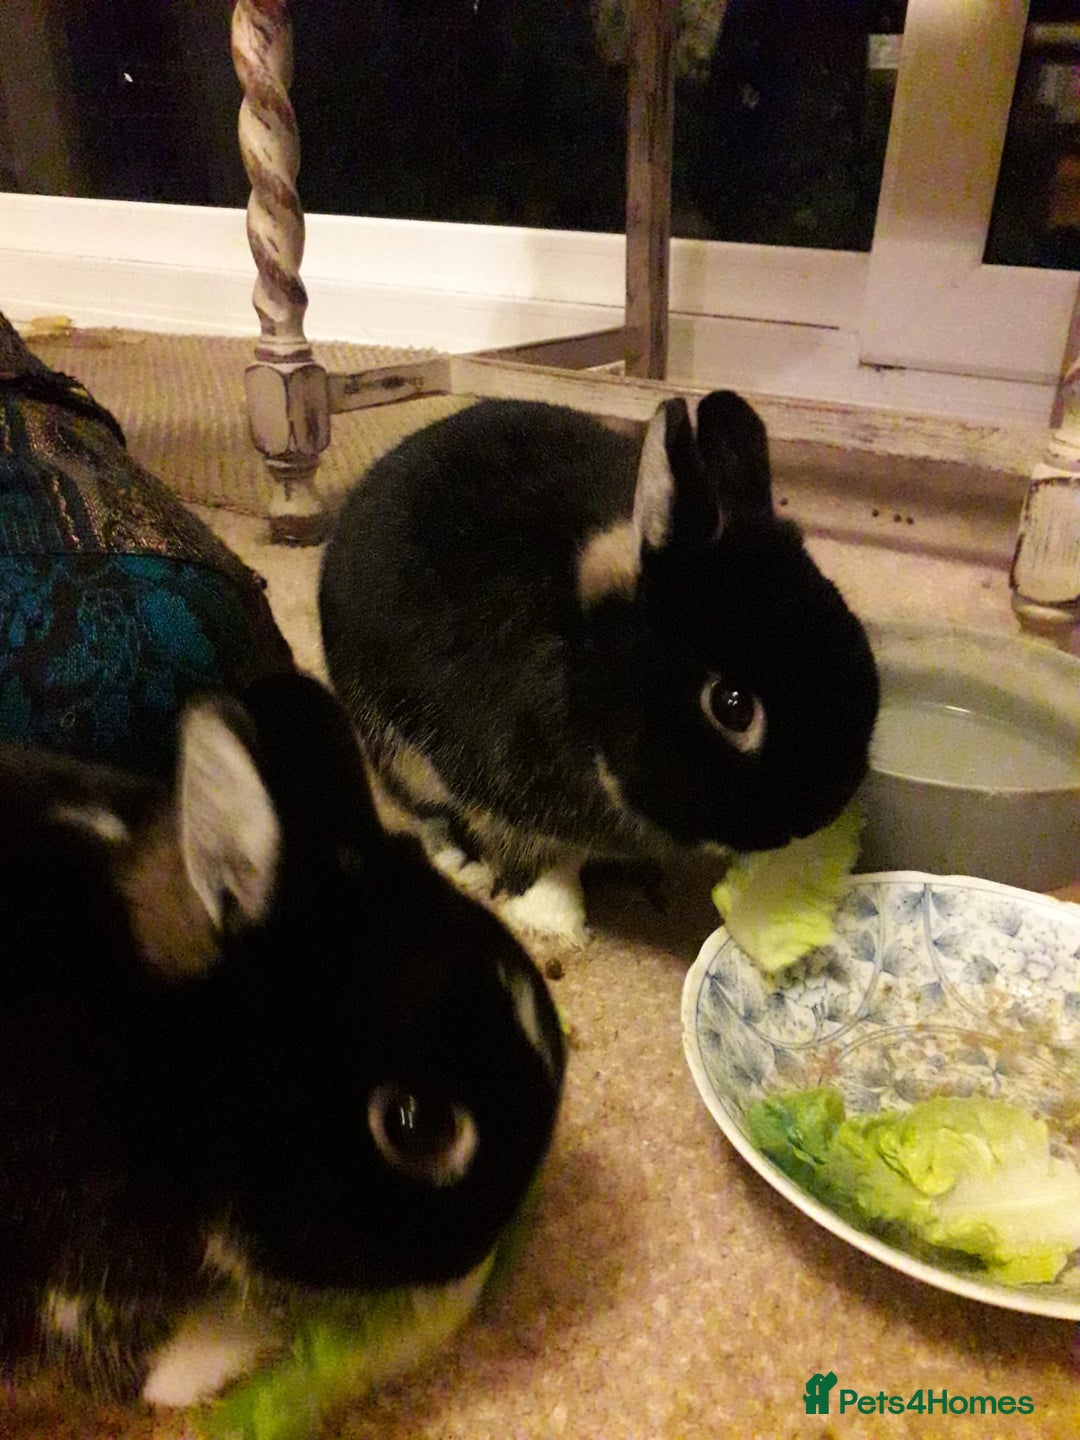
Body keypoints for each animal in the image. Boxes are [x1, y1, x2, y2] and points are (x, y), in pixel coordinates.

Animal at [319, 390, 879, 941]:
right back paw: (463, 866)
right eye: (732, 706)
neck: (584, 650)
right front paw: (558, 922)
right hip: (395, 750)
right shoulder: (503, 800)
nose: (818, 815)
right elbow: (544, 865)